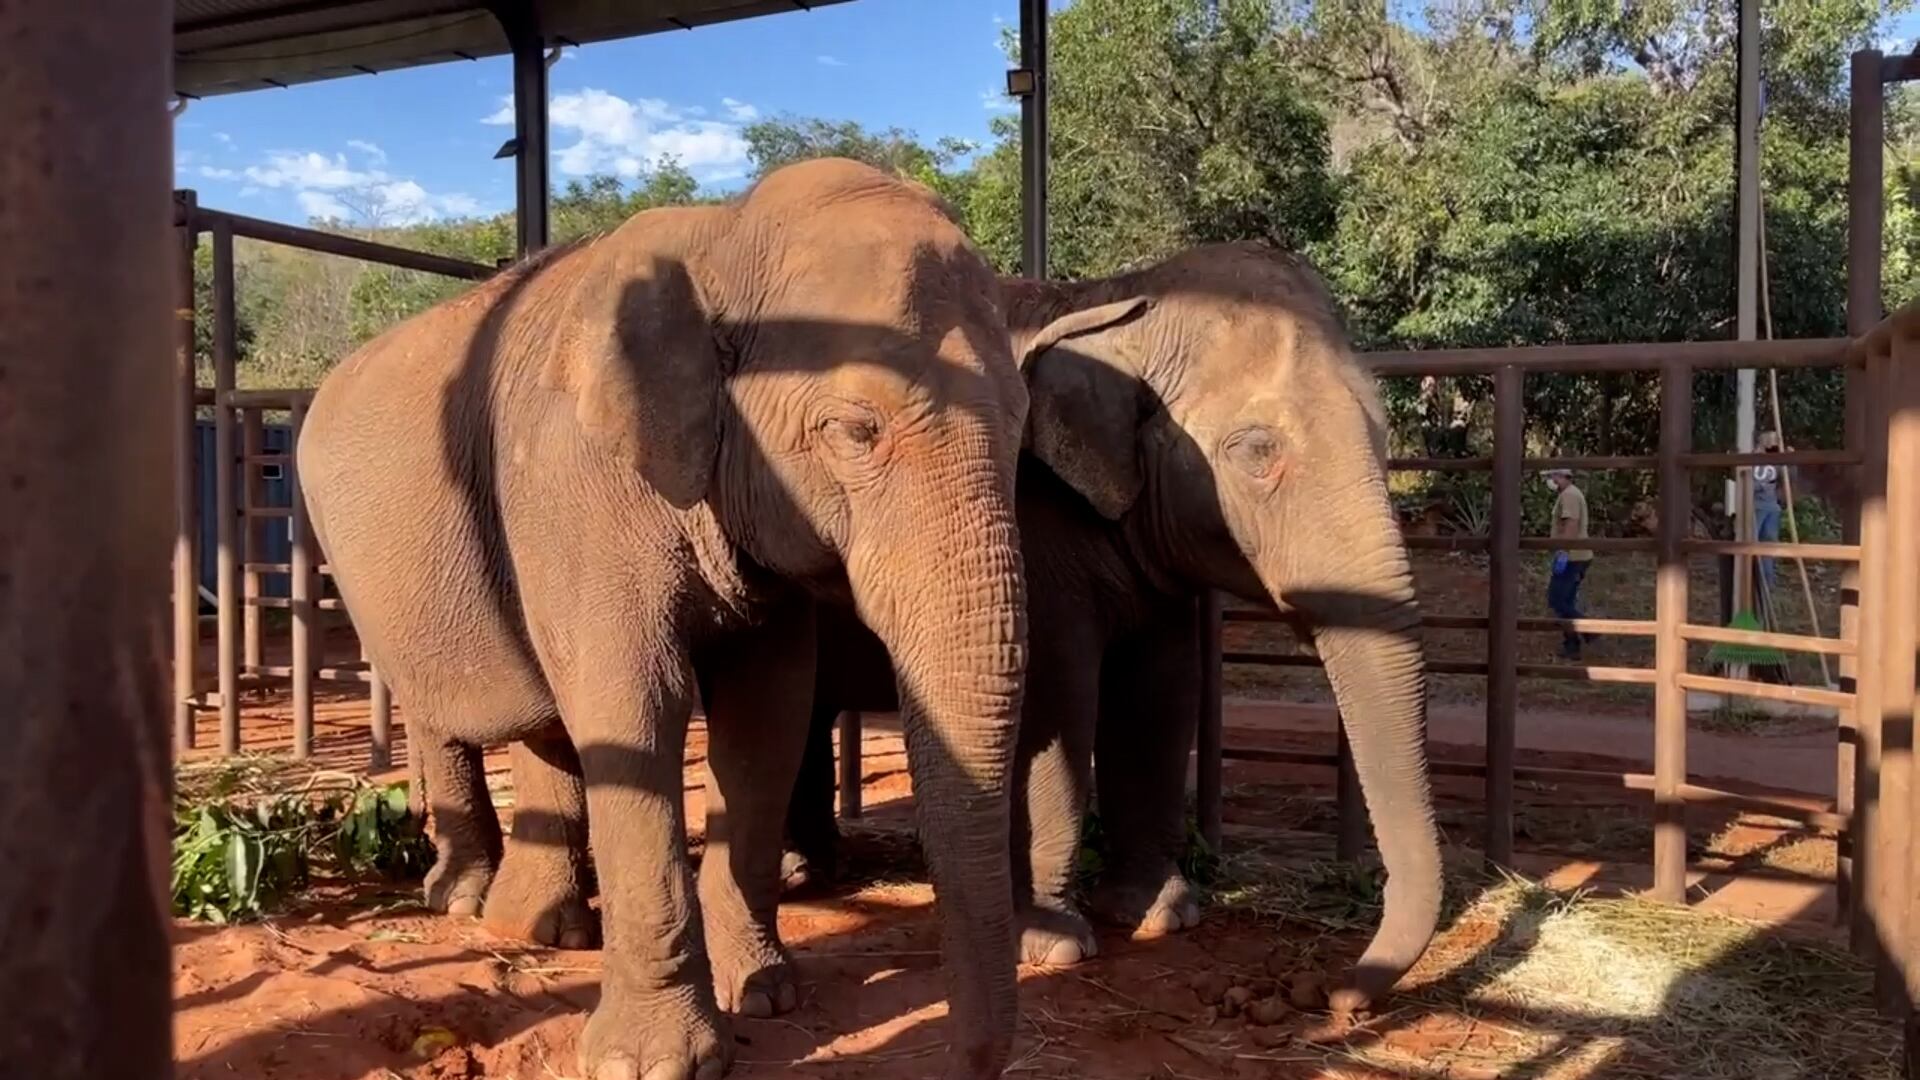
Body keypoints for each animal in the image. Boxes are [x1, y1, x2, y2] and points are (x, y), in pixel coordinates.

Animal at [301, 157, 1090, 1076]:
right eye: (855, 430)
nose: (965, 1059)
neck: (727, 234)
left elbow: (766, 716)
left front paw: (768, 995)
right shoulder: (576, 485)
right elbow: (634, 711)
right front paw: (652, 1062)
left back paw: (540, 927)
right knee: (442, 711)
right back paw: (463, 902)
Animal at [464, 237, 1443, 1014]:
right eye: (1256, 451)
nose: (1333, 997)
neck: (1122, 299)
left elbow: (1160, 702)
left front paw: (1161, 915)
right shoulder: (1035, 522)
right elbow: (1061, 705)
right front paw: (1055, 943)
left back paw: (816, 870)